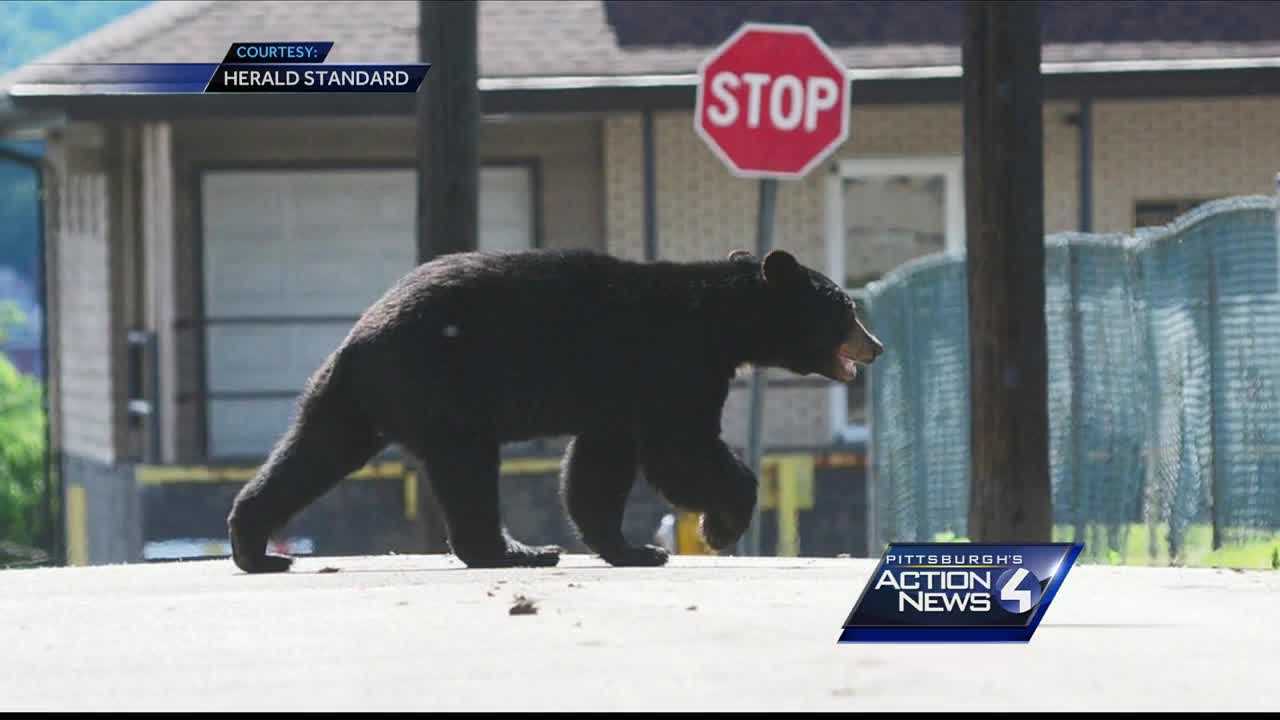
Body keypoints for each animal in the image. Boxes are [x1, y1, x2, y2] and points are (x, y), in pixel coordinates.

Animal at [226, 247, 883, 573]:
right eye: (847, 308)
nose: (874, 345)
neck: (722, 320)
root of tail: (358, 338)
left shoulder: (617, 399)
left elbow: (599, 466)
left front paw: (633, 549)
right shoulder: (671, 365)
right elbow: (680, 448)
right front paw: (719, 526)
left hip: (351, 398)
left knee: (311, 452)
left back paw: (255, 548)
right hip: (443, 385)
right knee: (468, 467)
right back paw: (515, 552)